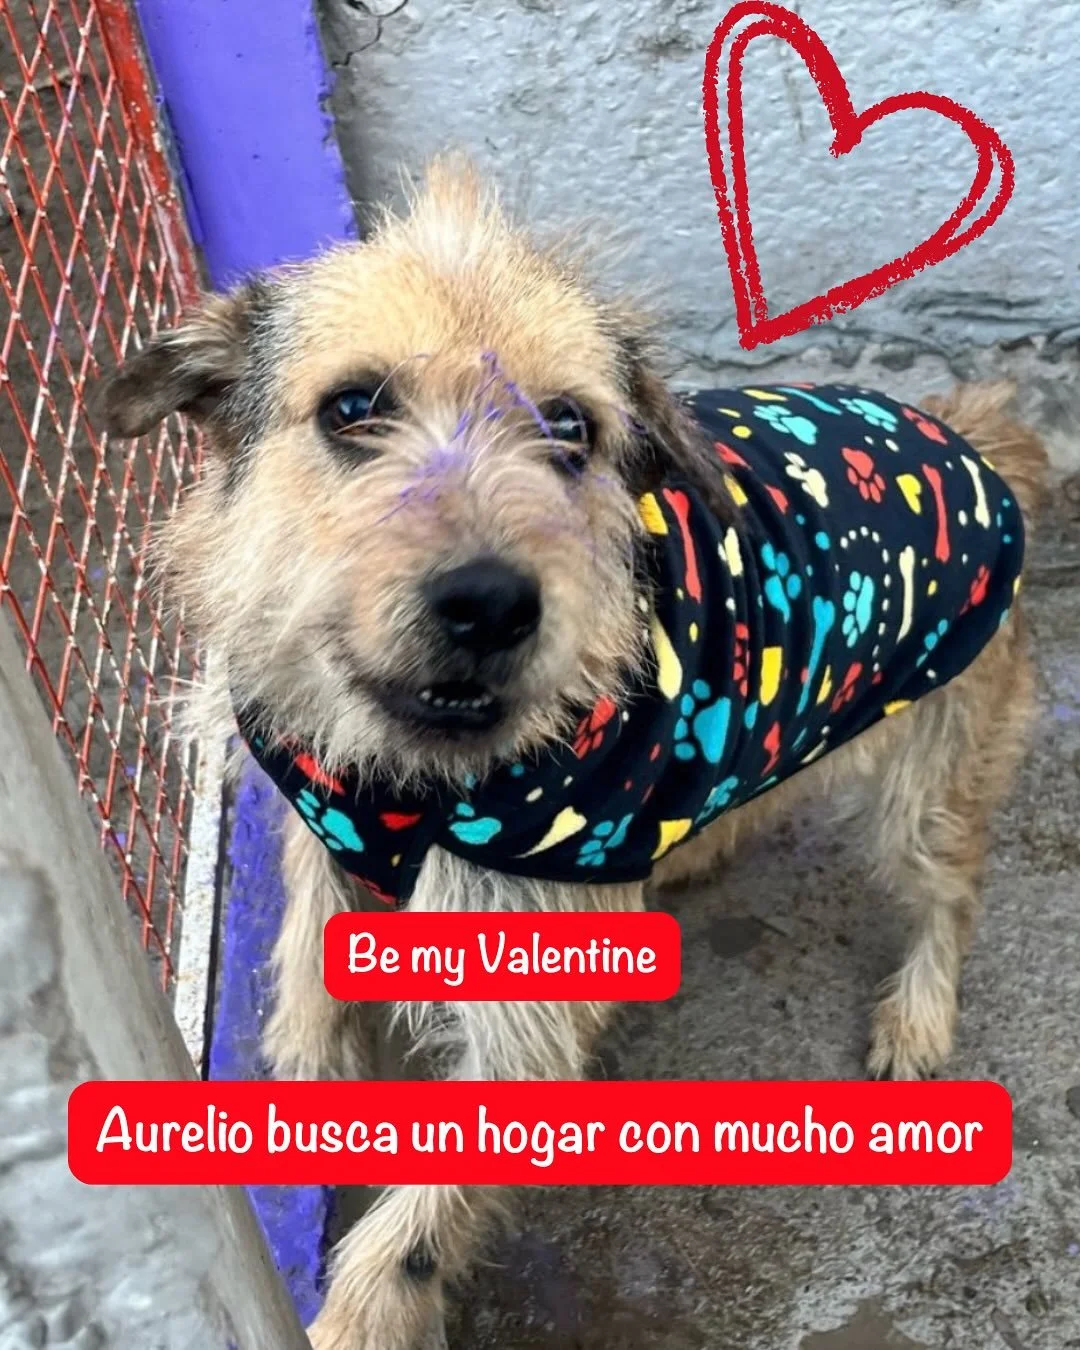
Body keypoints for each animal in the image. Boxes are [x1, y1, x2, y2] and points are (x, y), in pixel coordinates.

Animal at [101, 157, 1047, 1350]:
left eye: (570, 426)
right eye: (354, 408)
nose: (493, 602)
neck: (410, 781)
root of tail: (973, 437)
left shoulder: (526, 1021)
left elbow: (408, 1241)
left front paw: (354, 1317)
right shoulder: (325, 835)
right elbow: (309, 972)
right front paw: (304, 1068)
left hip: (931, 782)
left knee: (950, 894)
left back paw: (918, 1015)